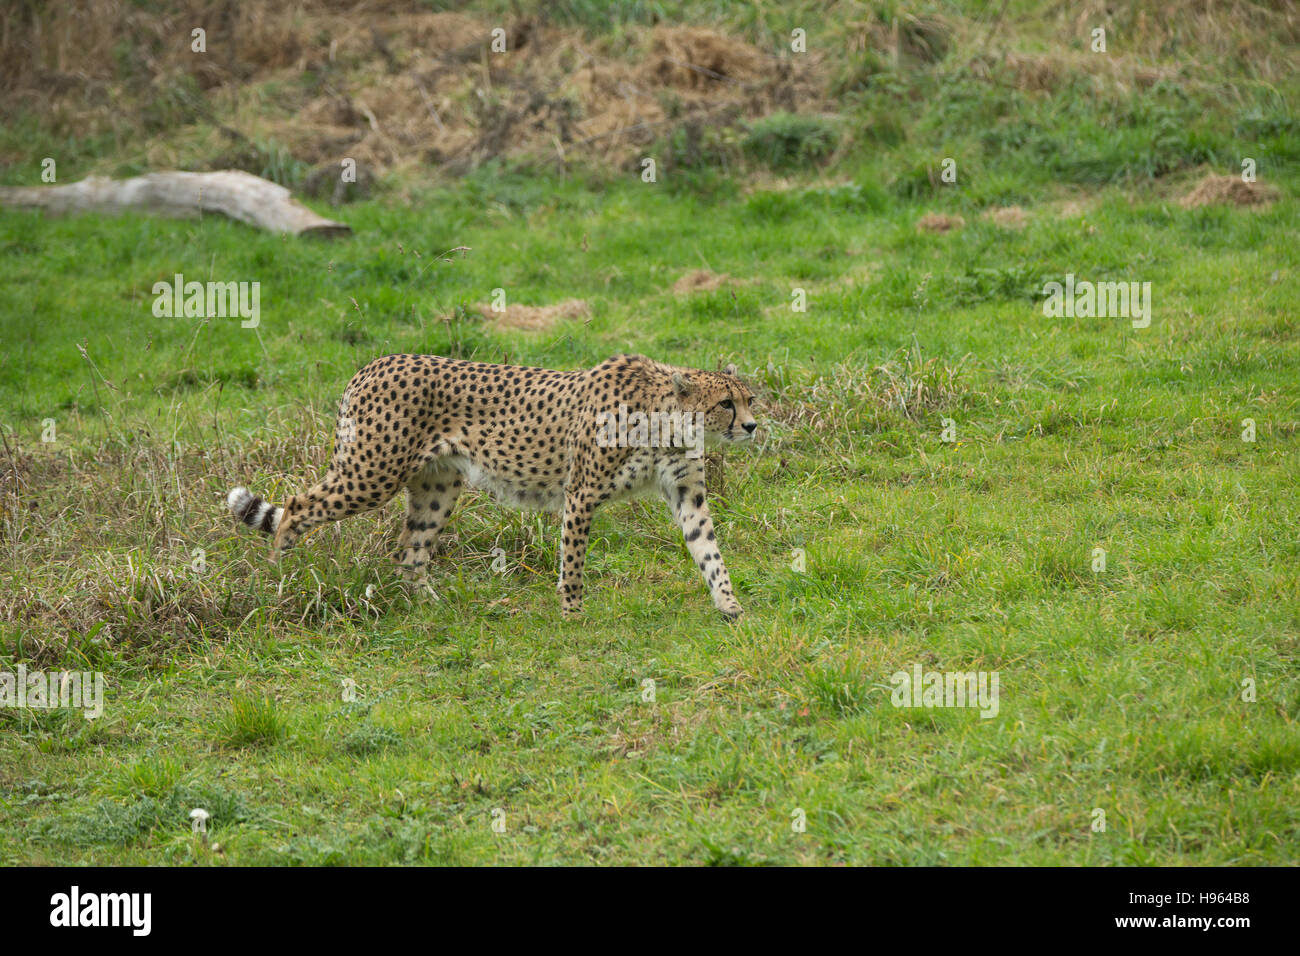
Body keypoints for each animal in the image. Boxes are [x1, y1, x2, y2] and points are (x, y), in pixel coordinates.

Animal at [226, 356, 759, 616]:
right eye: (725, 404)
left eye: (750, 399)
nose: (753, 427)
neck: (667, 421)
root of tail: (373, 363)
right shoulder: (581, 494)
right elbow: (572, 559)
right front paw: (572, 613)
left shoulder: (687, 493)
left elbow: (709, 551)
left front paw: (729, 605)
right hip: (370, 473)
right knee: (298, 506)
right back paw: (278, 576)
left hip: (436, 486)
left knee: (409, 551)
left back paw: (431, 605)